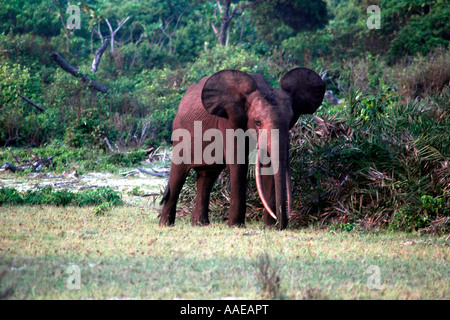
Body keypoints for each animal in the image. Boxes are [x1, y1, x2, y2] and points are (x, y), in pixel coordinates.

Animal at [158, 67, 324, 229]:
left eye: (290, 122)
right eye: (257, 122)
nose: (281, 223)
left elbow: (267, 166)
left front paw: (269, 227)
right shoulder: (228, 120)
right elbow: (238, 163)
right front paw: (236, 226)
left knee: (207, 177)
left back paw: (200, 225)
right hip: (180, 133)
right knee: (178, 176)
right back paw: (165, 225)